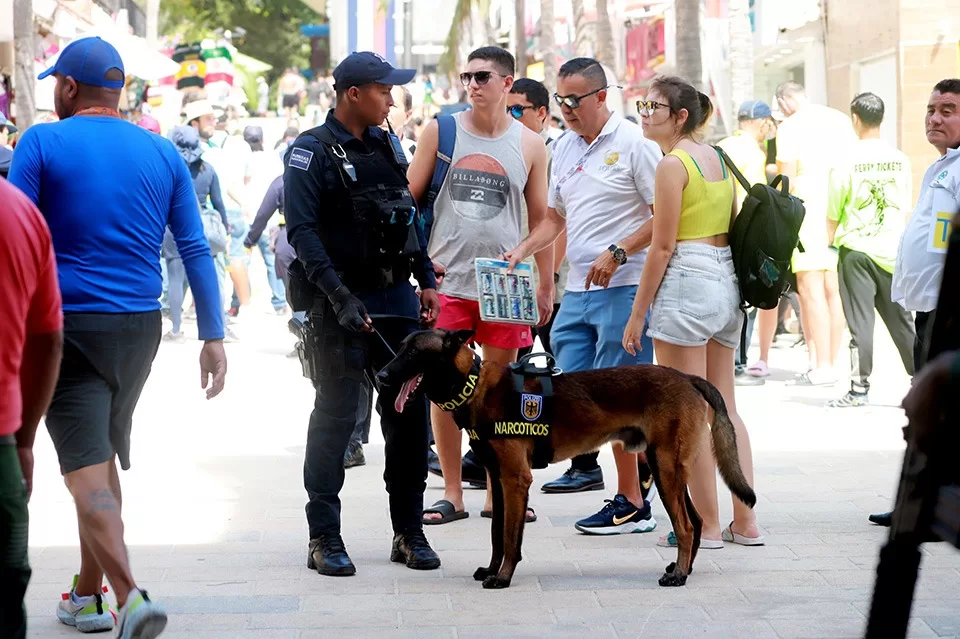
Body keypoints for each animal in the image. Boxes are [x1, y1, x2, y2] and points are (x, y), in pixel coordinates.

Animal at [376, 330, 756, 592]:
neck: (475, 386)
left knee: (688, 526)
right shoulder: (498, 481)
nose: (380, 376)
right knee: (694, 520)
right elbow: (497, 534)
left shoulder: (515, 479)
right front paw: (492, 569)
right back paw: (684, 570)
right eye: (401, 347)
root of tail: (687, 377)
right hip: (667, 470)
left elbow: (511, 537)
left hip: (663, 468)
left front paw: (503, 576)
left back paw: (677, 575)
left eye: (413, 352)